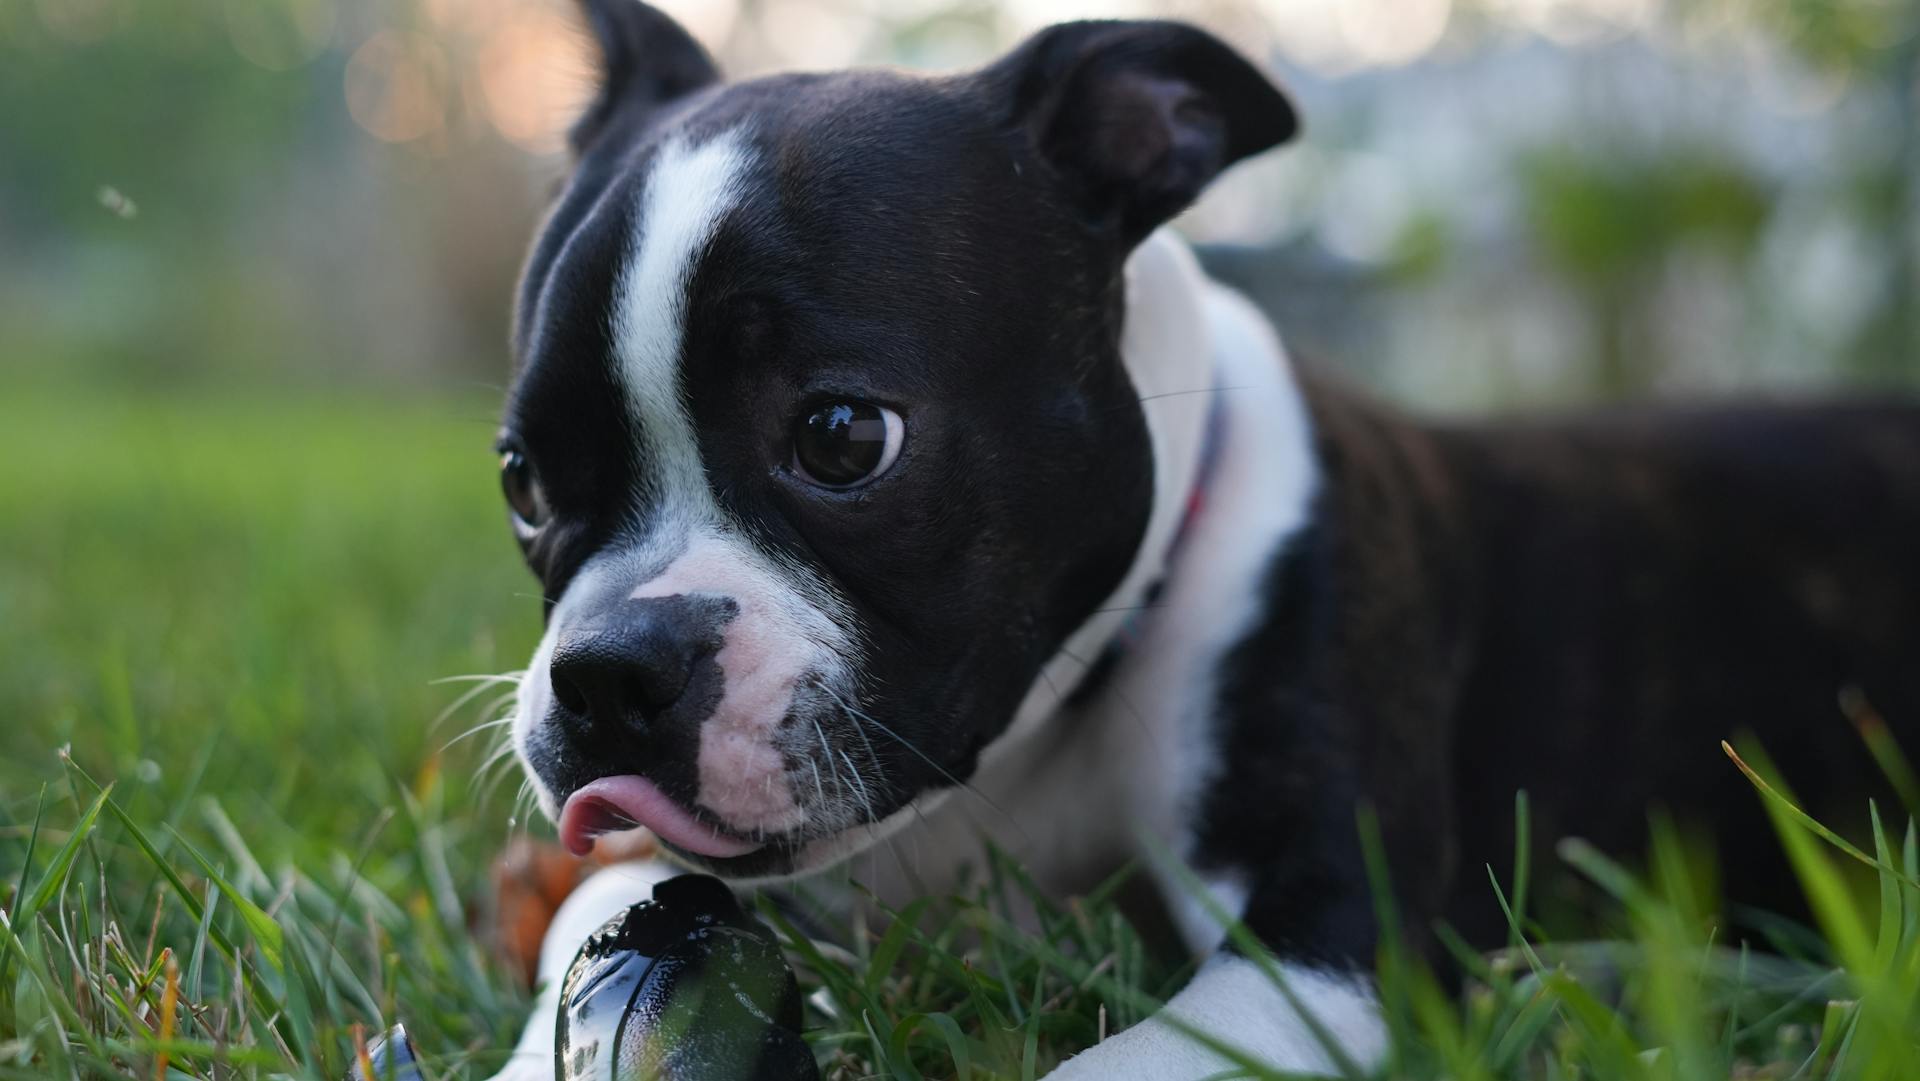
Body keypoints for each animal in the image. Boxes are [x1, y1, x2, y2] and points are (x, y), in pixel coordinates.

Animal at [487, 4, 1920, 1075]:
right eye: (522, 479)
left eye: (843, 436)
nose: (608, 672)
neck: (1039, 734)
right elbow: (604, 917)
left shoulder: (1325, 953)